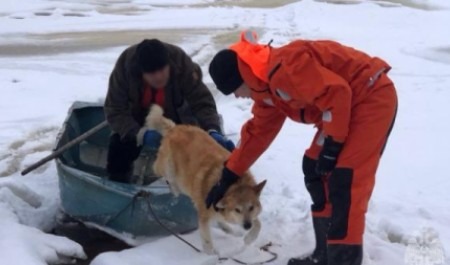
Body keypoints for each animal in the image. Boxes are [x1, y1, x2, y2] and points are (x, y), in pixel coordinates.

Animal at [147, 104, 268, 254]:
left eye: (251, 207)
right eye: (237, 210)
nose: (247, 226)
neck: (230, 184)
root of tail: (174, 128)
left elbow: (259, 224)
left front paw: (249, 238)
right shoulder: (204, 216)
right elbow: (207, 240)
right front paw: (210, 255)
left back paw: (229, 229)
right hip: (167, 168)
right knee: (165, 175)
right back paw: (174, 190)